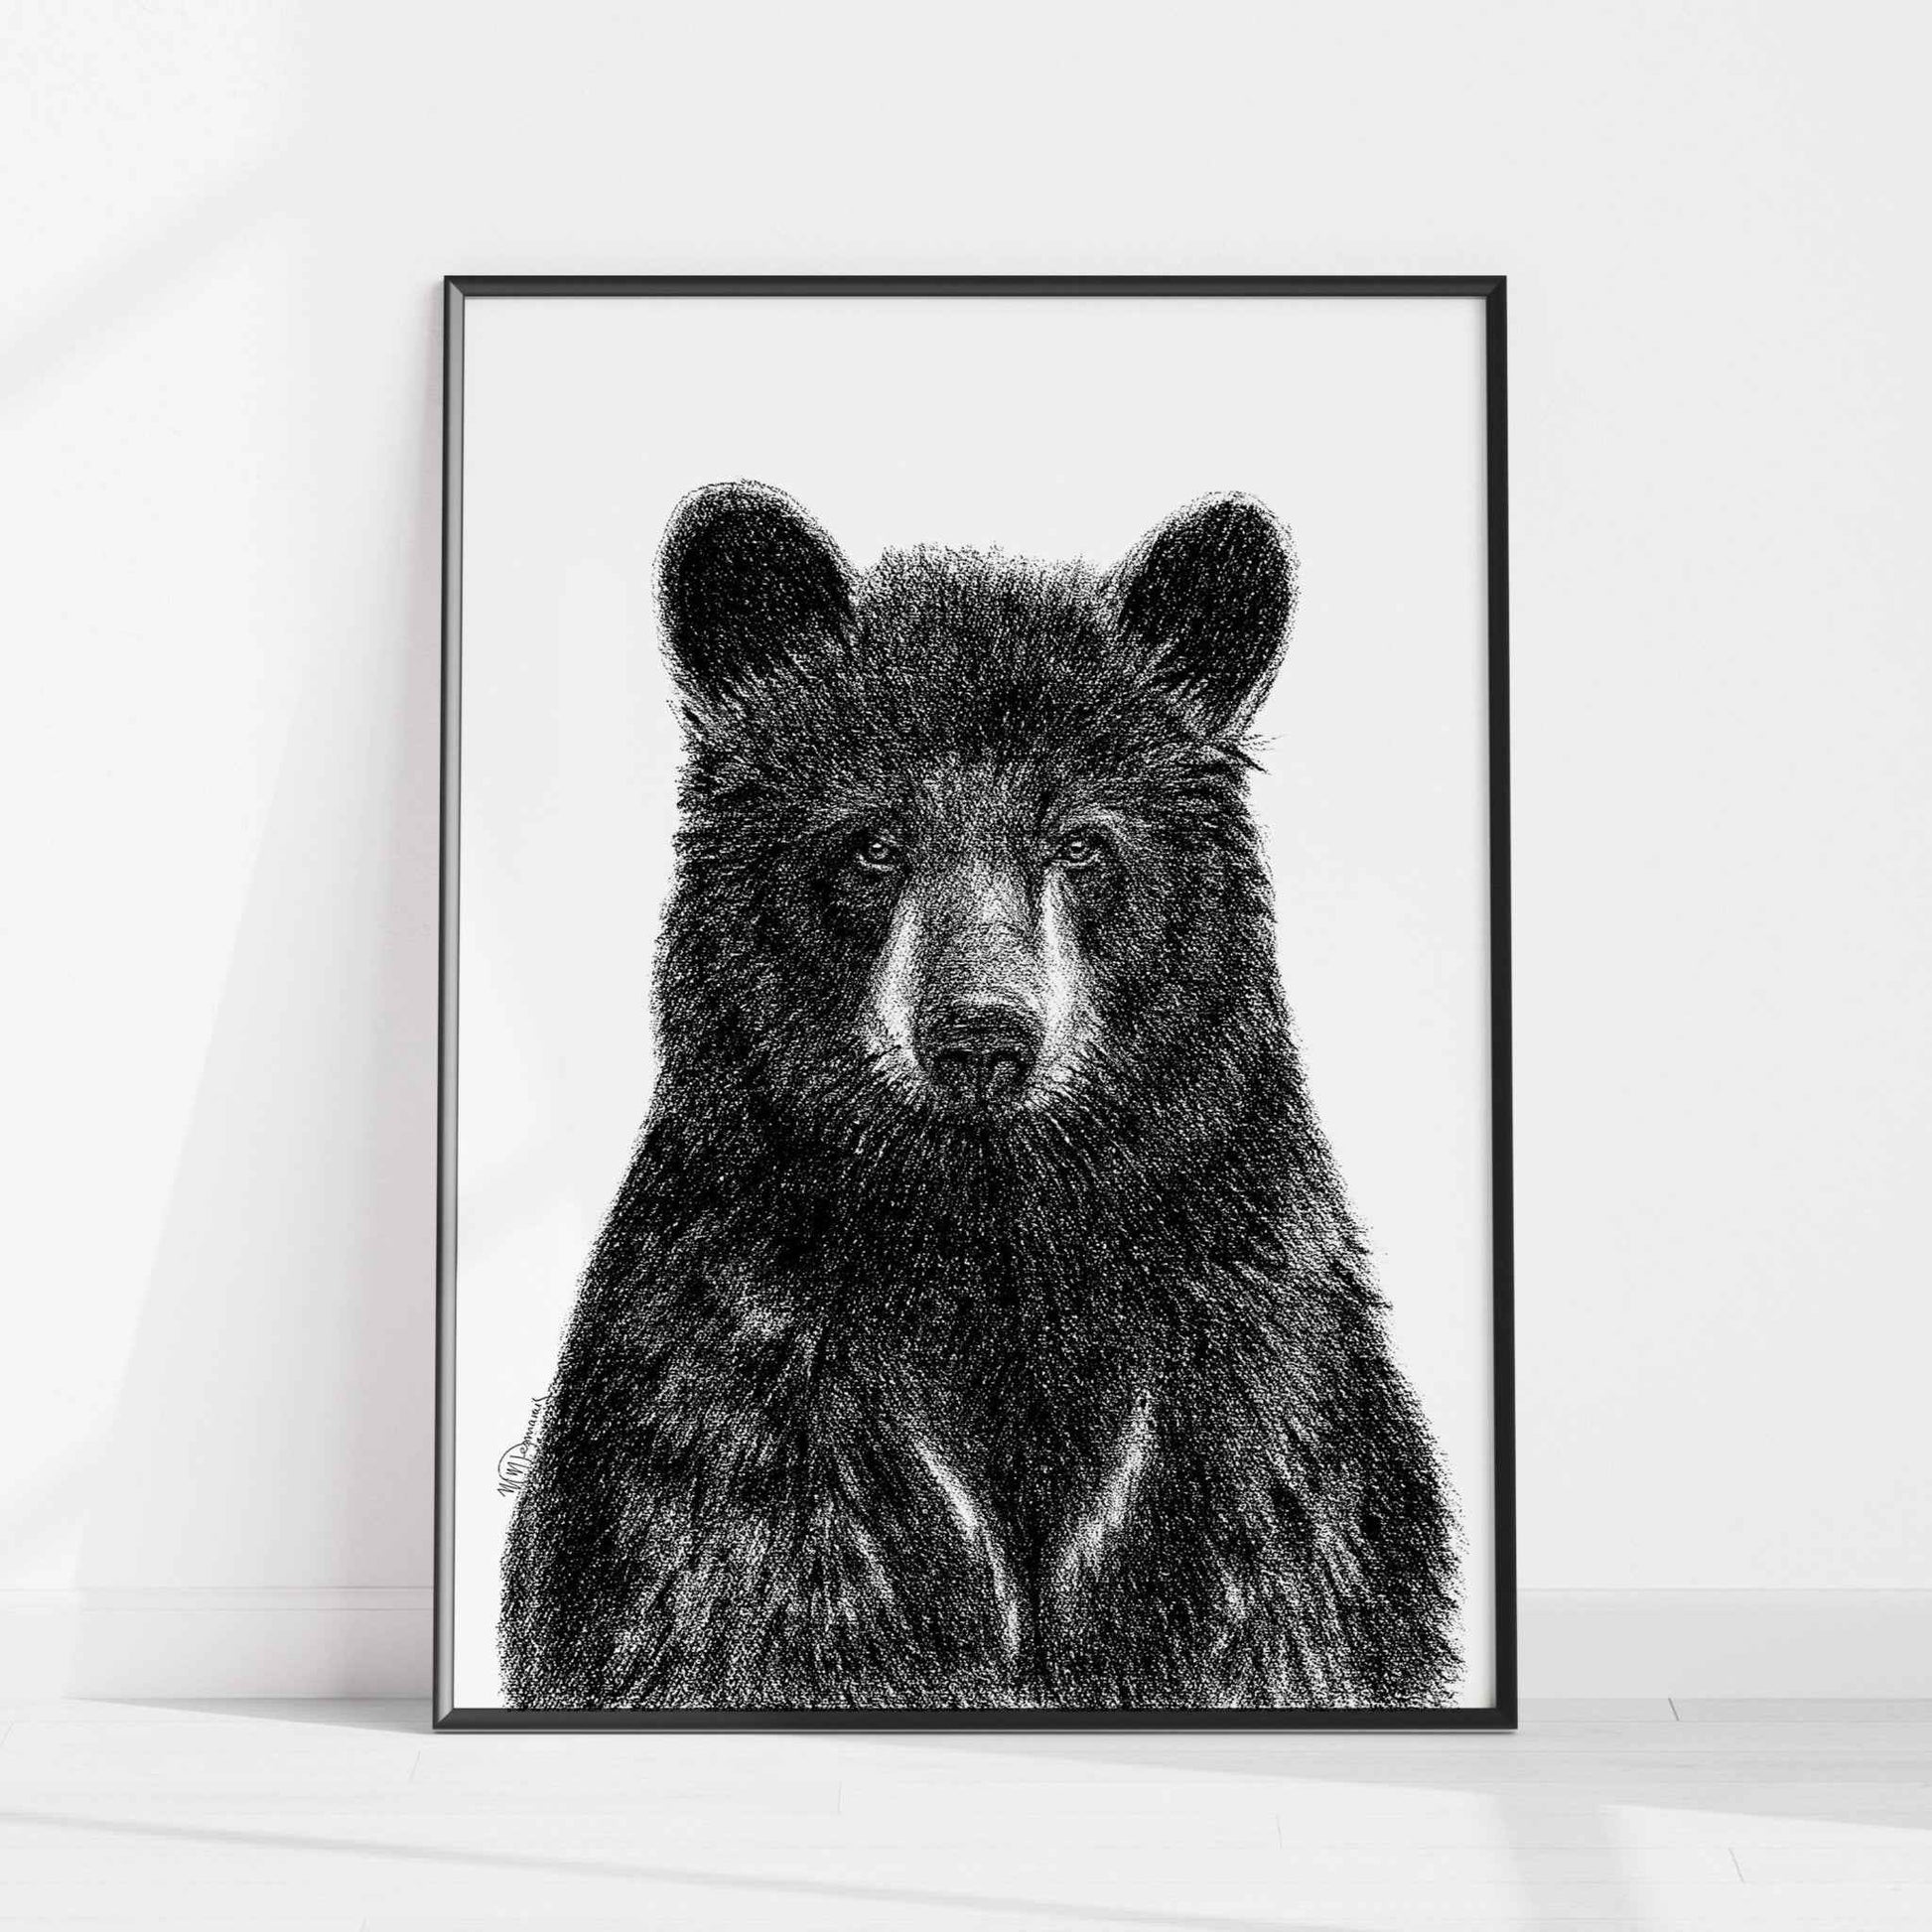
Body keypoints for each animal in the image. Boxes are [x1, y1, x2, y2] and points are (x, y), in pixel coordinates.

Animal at [499, 482, 1459, 1711]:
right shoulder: (741, 1410)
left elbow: (1289, 1588)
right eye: (872, 843)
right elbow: (733, 1600)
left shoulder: (1251, 1416)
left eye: (1083, 843)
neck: (989, 1236)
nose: (980, 1037)